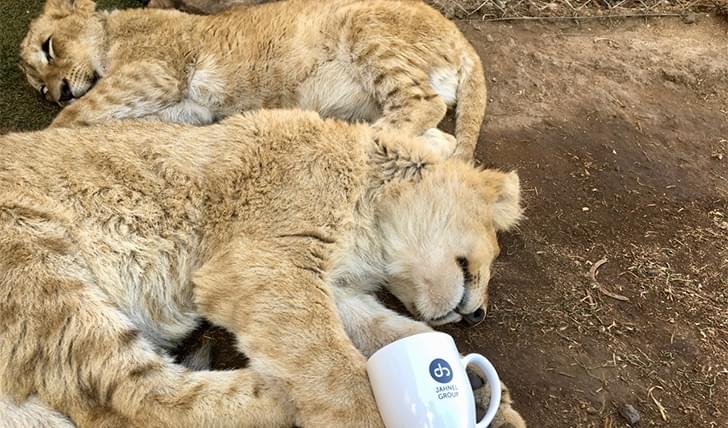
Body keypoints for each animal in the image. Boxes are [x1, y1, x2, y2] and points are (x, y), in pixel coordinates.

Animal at [0, 110, 524, 427]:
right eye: (490, 255)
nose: (477, 315)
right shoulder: (265, 260)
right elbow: (336, 368)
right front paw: (374, 409)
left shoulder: (330, 285)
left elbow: (395, 333)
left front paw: (485, 395)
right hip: (40, 262)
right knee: (133, 400)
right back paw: (274, 394)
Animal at [19, 0, 487, 159]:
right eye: (39, 87)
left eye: (49, 47)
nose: (56, 93)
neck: (112, 33)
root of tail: (461, 37)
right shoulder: (185, 110)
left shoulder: (158, 71)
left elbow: (79, 113)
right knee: (443, 139)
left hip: (363, 27)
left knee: (426, 103)